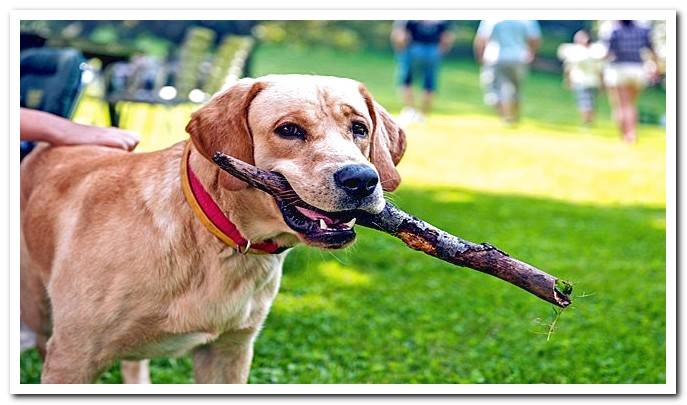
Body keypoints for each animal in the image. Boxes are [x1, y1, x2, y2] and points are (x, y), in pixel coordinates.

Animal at [21, 75, 406, 382]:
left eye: (359, 128)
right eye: (289, 130)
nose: (361, 179)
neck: (216, 242)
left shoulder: (229, 351)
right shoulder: (73, 357)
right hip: (39, 314)